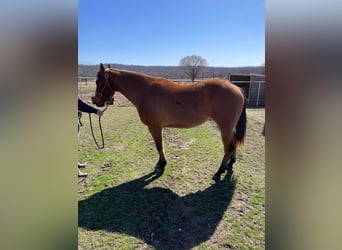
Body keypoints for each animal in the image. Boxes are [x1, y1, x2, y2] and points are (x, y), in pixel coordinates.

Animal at [91, 63, 246, 181]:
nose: (95, 101)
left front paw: (161, 166)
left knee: (228, 147)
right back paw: (230, 165)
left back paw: (219, 172)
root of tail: (236, 88)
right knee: (233, 144)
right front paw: (160, 164)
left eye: (99, 82)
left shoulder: (155, 127)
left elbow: (159, 146)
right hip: (229, 128)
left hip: (225, 128)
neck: (145, 91)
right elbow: (160, 146)